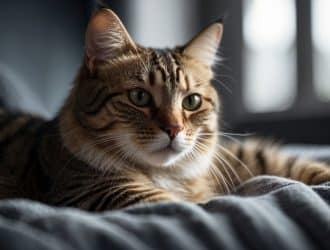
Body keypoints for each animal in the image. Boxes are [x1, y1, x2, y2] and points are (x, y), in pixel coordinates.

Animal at [0, 8, 330, 210]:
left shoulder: (224, 157)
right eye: (139, 97)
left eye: (191, 101)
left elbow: (282, 162)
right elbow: (185, 205)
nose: (174, 129)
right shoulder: (99, 191)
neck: (172, 175)